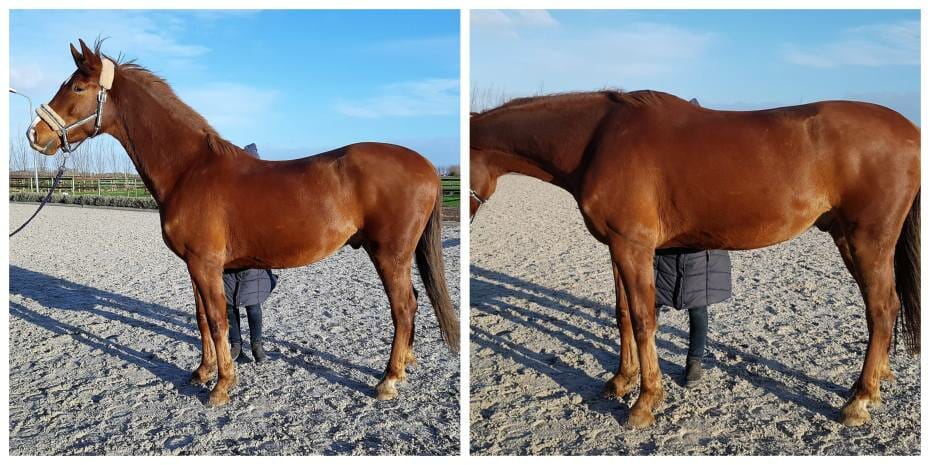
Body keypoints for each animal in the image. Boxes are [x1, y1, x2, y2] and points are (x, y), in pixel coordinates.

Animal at [27, 39, 459, 406]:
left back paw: (388, 380)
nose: (35, 134)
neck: (189, 169)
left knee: (403, 307)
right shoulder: (195, 266)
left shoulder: (205, 264)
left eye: (77, 88)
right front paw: (202, 372)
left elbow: (219, 321)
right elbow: (203, 319)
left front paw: (221, 387)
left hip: (389, 255)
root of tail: (426, 165)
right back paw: (405, 366)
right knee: (412, 303)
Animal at [470, 89, 919, 428]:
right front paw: (621, 380)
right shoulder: (617, 247)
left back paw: (859, 400)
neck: (598, 140)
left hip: (868, 240)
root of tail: (910, 131)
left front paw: (645, 402)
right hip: (847, 238)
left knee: (881, 309)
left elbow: (643, 319)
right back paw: (874, 383)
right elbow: (621, 313)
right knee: (888, 307)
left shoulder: (633, 246)